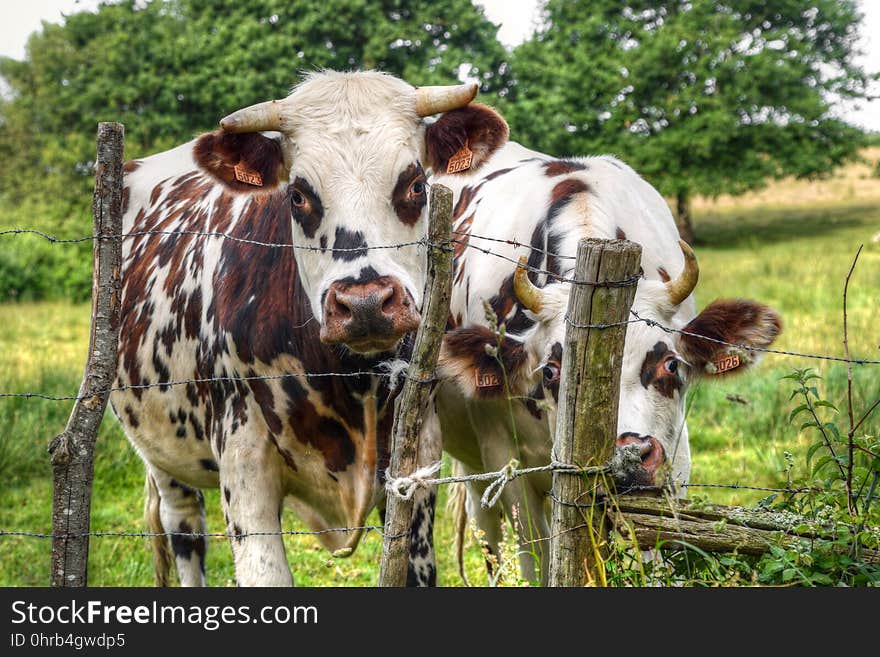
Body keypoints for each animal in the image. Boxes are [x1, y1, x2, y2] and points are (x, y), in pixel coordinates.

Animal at [109, 70, 484, 584]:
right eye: (298, 194)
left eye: (415, 185)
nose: (365, 304)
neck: (353, 382)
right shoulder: (243, 464)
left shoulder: (420, 460)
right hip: (160, 448)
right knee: (184, 529)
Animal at [420, 102, 784, 584]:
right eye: (550, 371)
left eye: (670, 364)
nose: (630, 456)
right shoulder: (508, 463)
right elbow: (539, 561)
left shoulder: (674, 460)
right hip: (475, 469)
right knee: (490, 540)